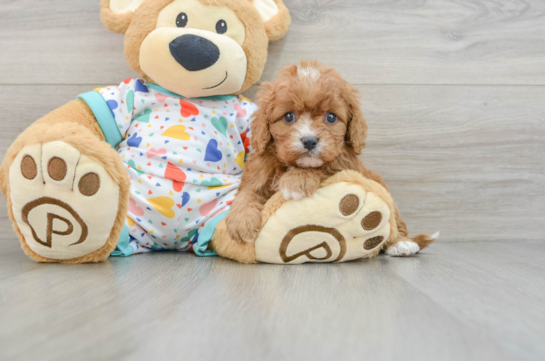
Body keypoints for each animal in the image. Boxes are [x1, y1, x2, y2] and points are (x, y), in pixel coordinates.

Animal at [224, 60, 434, 255]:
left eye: (331, 117)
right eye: (289, 116)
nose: (309, 141)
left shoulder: (346, 166)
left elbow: (325, 167)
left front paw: (296, 181)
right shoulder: (258, 173)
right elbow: (247, 193)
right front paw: (241, 221)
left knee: (395, 221)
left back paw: (402, 243)